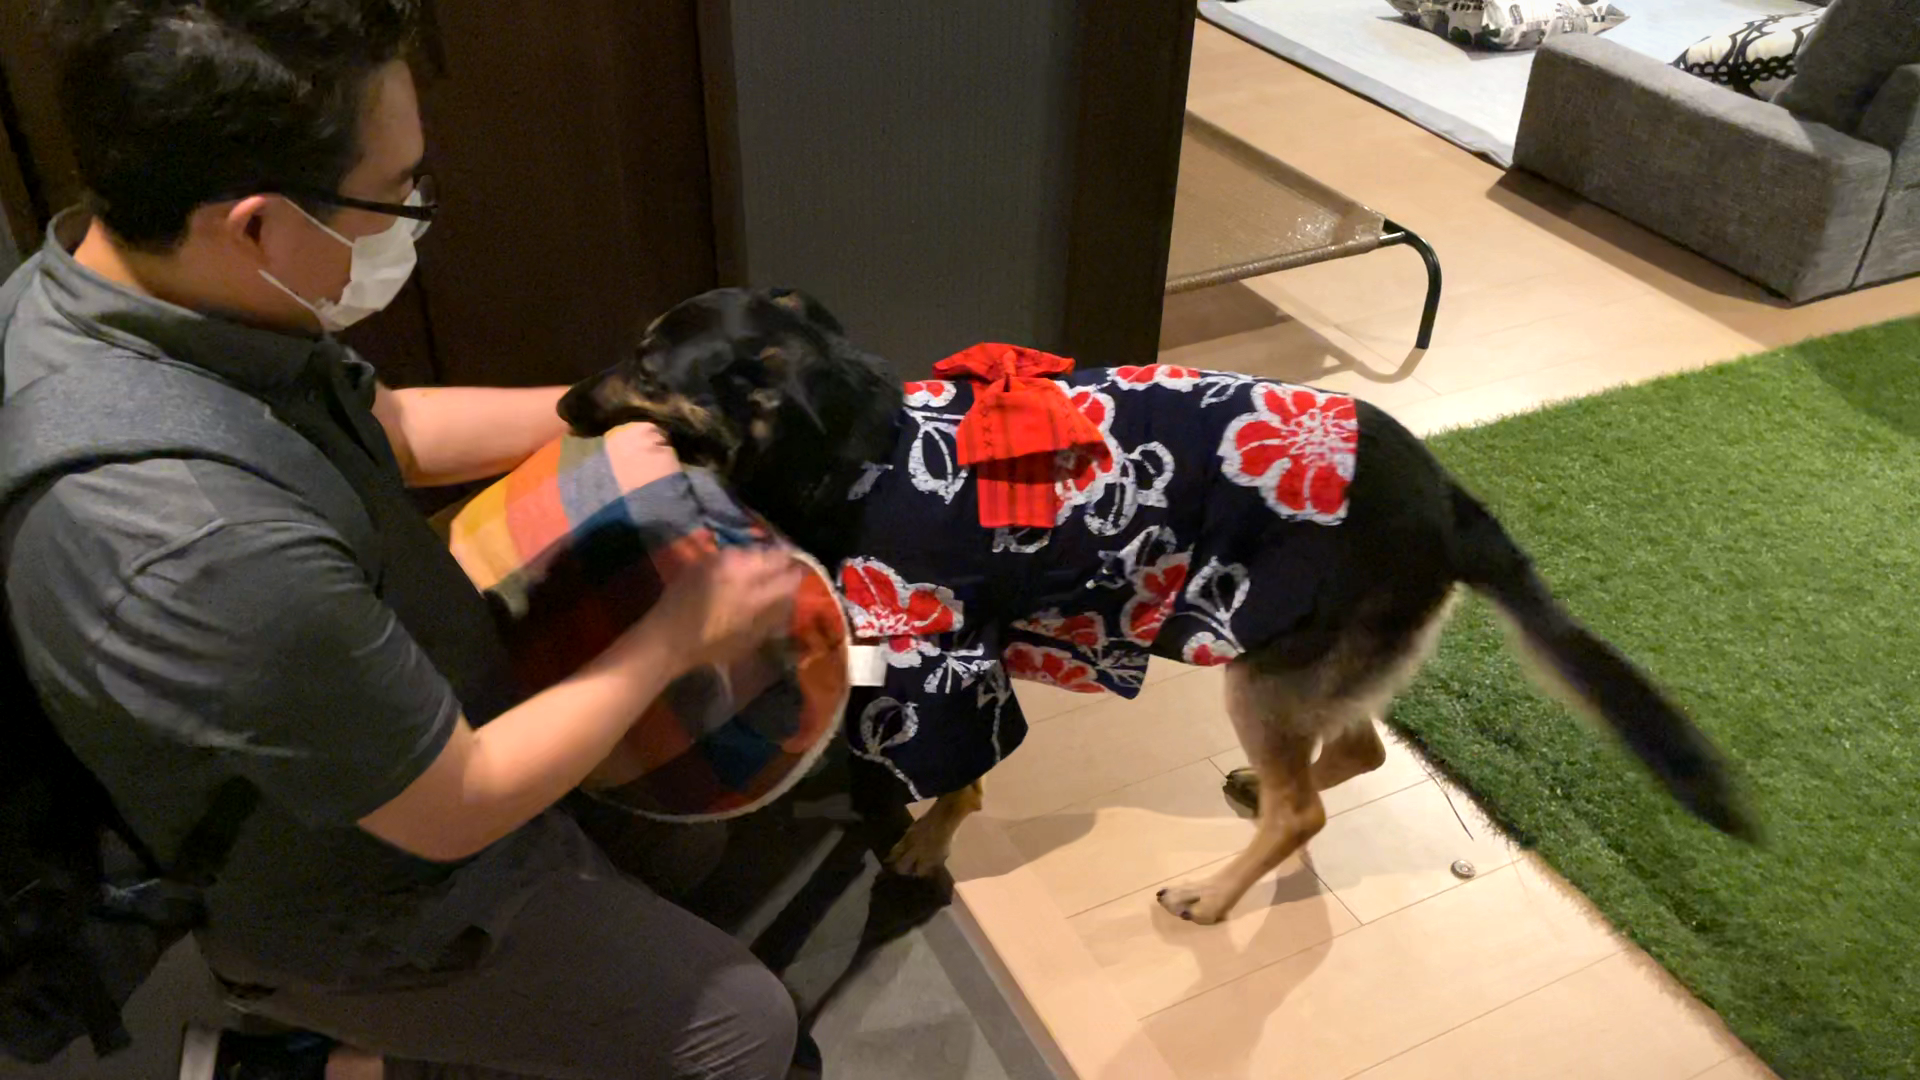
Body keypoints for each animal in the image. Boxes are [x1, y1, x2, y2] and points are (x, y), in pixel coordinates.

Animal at [562, 287, 1755, 925]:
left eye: (648, 369)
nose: (566, 402)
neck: (858, 446)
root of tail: (1455, 504)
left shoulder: (949, 655)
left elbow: (957, 779)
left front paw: (923, 848)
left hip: (1263, 671)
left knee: (1308, 811)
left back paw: (1214, 898)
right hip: (1308, 671)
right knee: (1356, 751)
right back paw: (1263, 798)